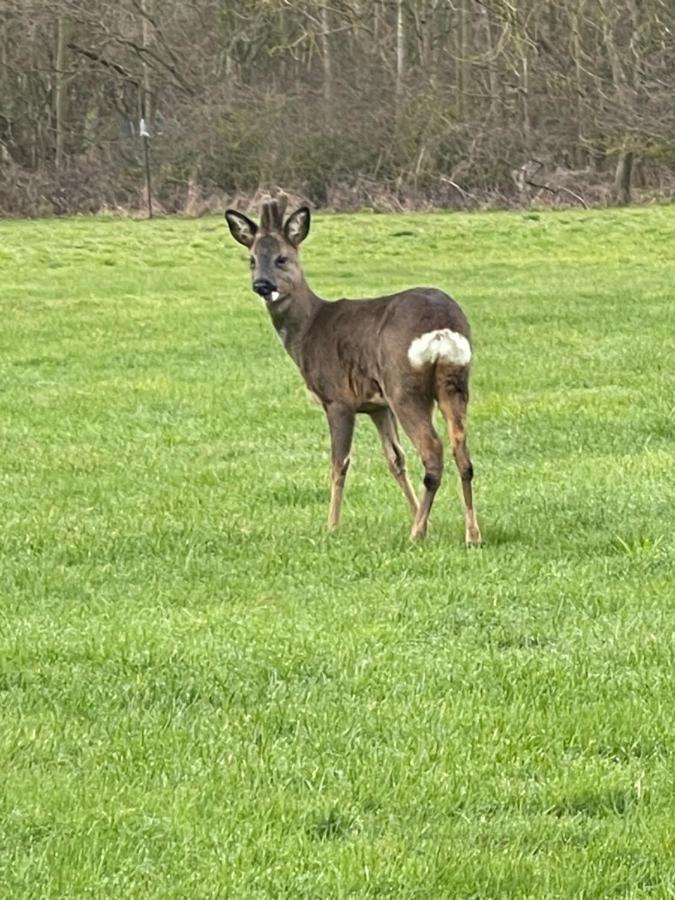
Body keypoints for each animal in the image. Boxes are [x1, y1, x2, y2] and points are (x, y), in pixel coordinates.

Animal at [226, 197, 480, 544]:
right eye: (252, 260)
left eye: (282, 258)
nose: (262, 285)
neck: (307, 329)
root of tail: (442, 327)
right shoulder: (376, 405)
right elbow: (395, 459)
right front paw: (421, 516)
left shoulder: (338, 398)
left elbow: (339, 463)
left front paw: (331, 525)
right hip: (455, 381)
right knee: (462, 453)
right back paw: (471, 534)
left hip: (405, 387)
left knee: (433, 450)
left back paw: (416, 534)